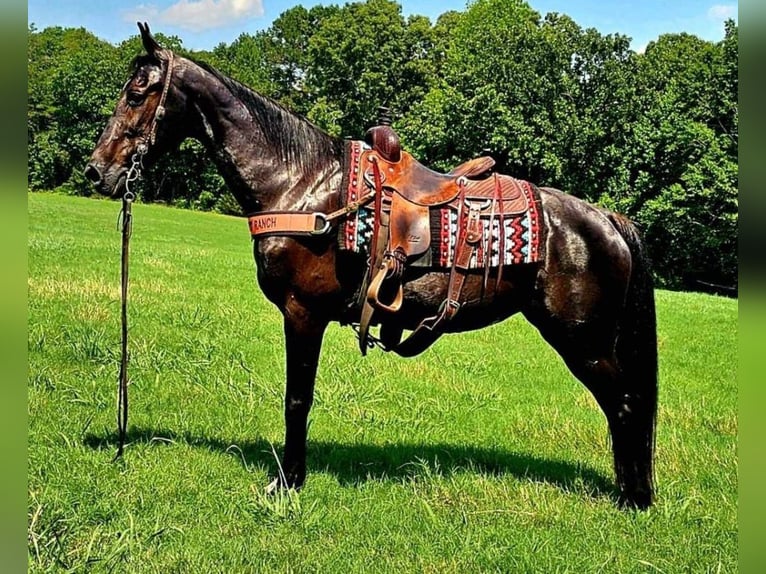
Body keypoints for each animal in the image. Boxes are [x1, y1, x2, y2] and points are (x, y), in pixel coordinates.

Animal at [85, 22, 660, 510]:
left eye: (137, 93)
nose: (96, 171)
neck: (301, 184)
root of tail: (606, 220)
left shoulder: (302, 314)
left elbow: (297, 398)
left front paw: (288, 483)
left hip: (582, 341)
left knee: (627, 405)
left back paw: (634, 499)